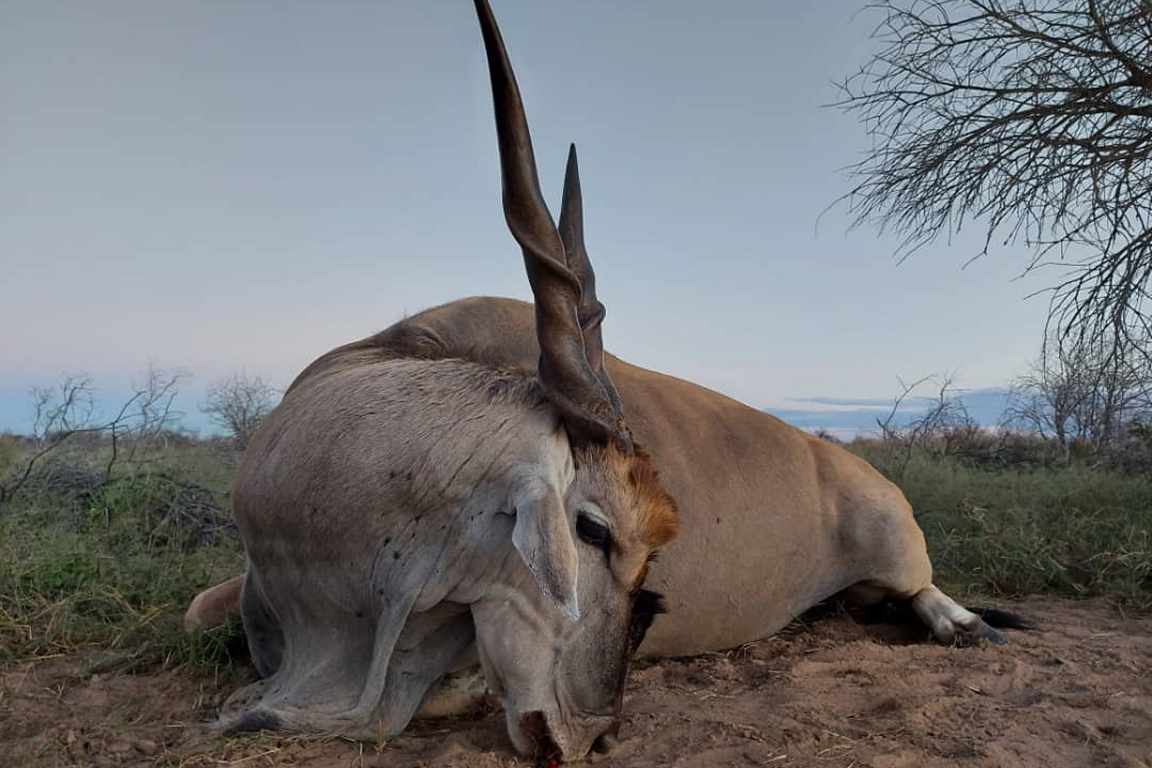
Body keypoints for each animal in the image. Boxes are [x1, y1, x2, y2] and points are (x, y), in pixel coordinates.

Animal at [188, 1, 1018, 764]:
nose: (592, 733)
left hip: (900, 555)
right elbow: (200, 609)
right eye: (592, 530)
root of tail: (854, 469)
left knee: (923, 589)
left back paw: (964, 625)